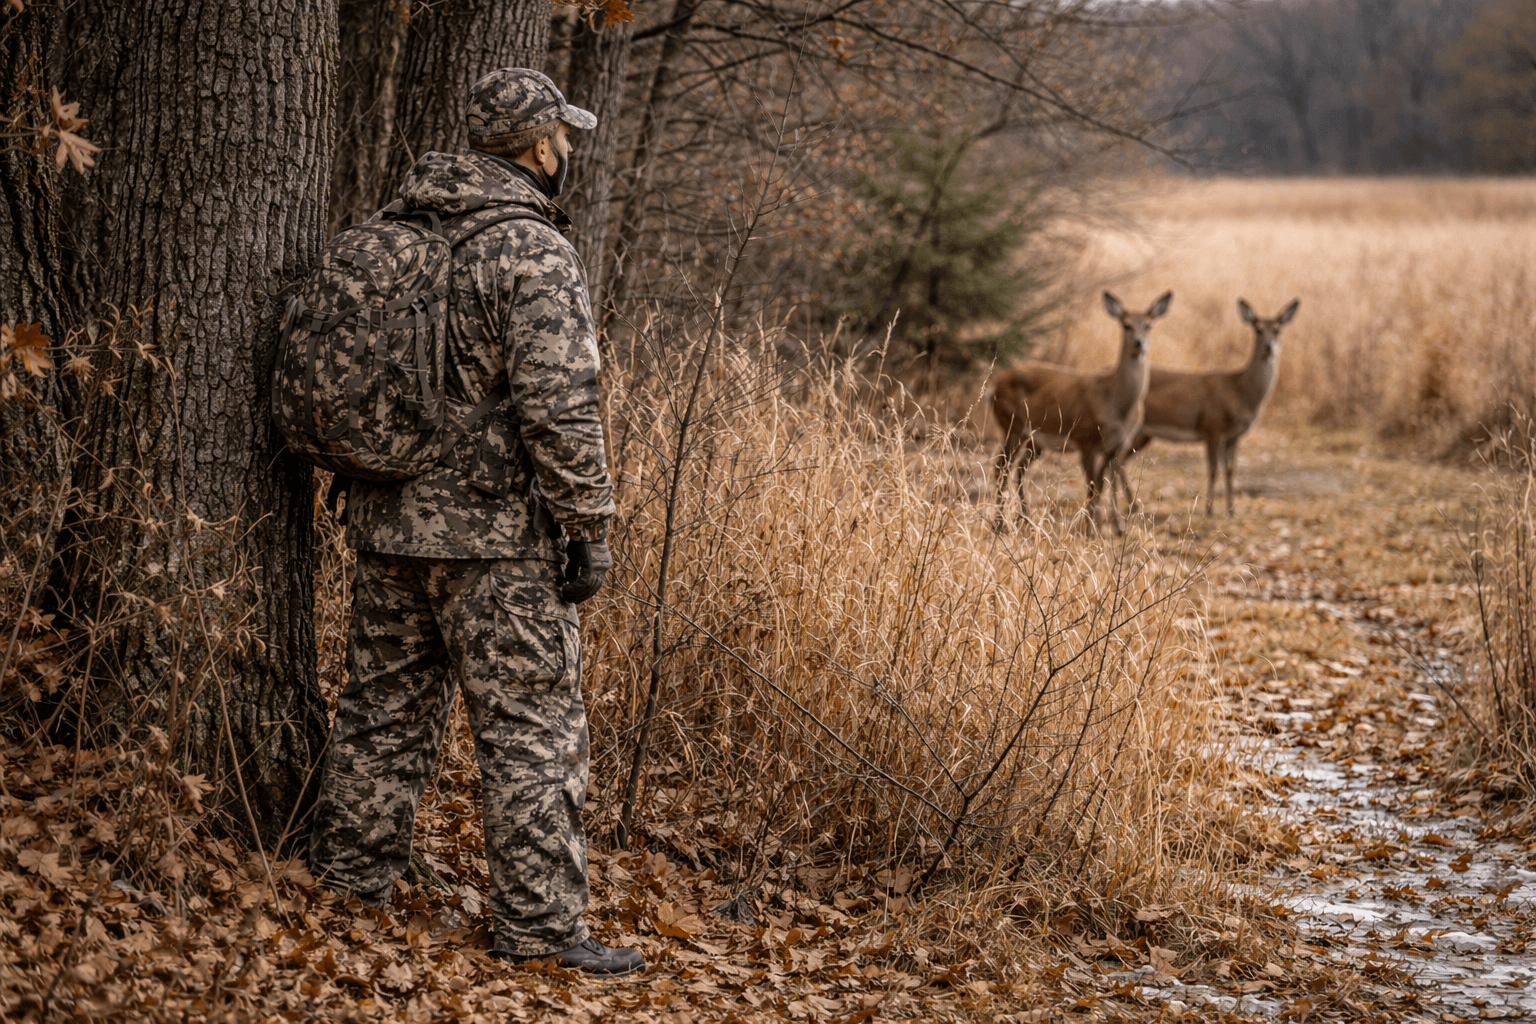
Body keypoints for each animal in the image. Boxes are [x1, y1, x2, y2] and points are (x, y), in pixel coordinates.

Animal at [991, 290, 1172, 535]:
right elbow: (1092, 487)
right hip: (1012, 425)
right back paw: (999, 524)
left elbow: (1103, 485)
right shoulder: (1086, 439)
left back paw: (1024, 521)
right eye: (1126, 325)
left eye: (1148, 325)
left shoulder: (1115, 447)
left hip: (1035, 441)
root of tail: (995, 386)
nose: (1138, 342)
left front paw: (1112, 529)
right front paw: (1091, 531)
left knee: (1018, 468)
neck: (1117, 405)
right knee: (1001, 467)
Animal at [1111, 298, 1299, 517]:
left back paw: (1130, 506)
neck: (1240, 389)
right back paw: (1129, 506)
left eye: (1277, 329)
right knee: (1116, 461)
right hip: (1135, 431)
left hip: (1144, 435)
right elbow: (1213, 469)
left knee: (1118, 461)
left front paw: (1231, 510)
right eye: (1258, 329)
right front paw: (1209, 509)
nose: (1269, 346)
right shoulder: (1213, 426)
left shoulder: (1233, 436)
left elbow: (1230, 470)